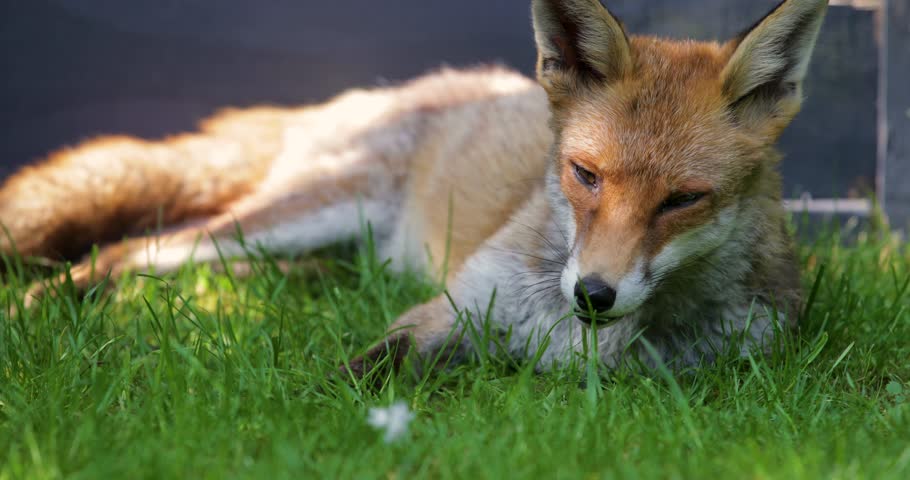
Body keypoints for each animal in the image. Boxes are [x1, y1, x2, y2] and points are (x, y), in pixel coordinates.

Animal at [0, 0, 828, 375]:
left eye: (683, 200)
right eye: (586, 175)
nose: (593, 294)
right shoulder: (444, 312)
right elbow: (356, 371)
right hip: (291, 213)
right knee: (131, 251)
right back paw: (44, 304)